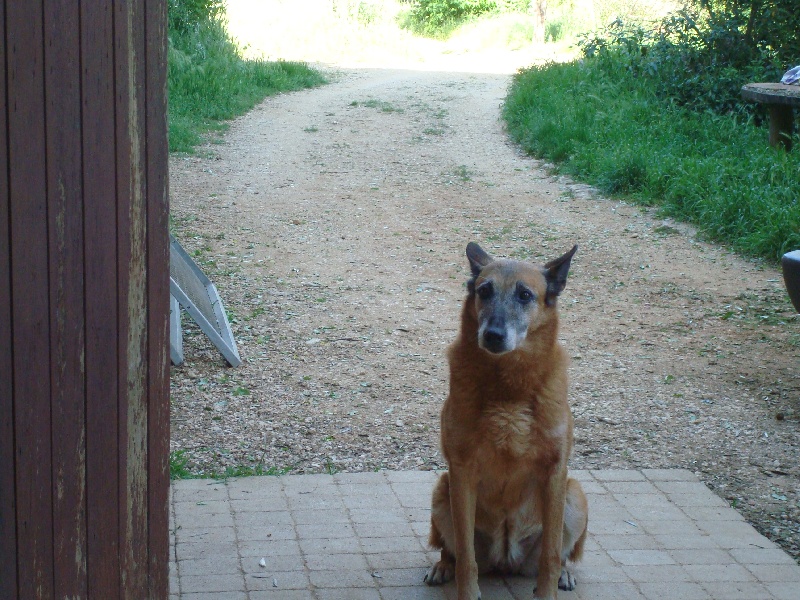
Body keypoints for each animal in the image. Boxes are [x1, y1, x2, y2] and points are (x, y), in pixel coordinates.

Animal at [424, 243, 588, 600]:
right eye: (484, 291)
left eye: (525, 295)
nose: (493, 335)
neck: (509, 389)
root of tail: (506, 559)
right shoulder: (461, 472)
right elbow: (466, 557)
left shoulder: (555, 472)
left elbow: (551, 554)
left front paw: (548, 590)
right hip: (442, 491)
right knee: (451, 549)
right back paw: (442, 566)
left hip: (574, 495)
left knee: (560, 553)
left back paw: (566, 574)